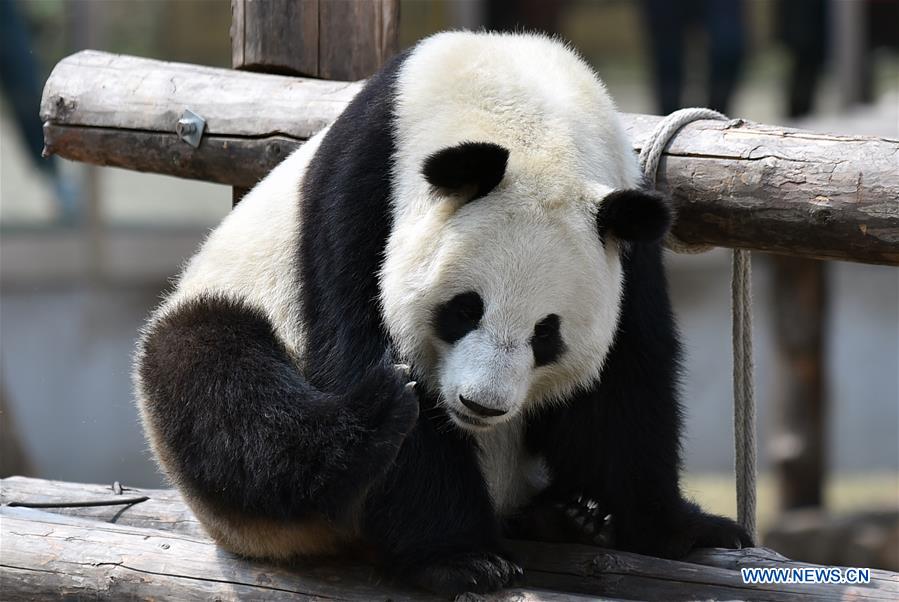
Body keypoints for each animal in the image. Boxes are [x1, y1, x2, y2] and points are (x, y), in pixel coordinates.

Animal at [134, 31, 751, 596]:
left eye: (546, 335)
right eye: (464, 310)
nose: (482, 405)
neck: (525, 100)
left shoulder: (627, 237)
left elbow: (625, 384)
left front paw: (683, 529)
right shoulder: (363, 193)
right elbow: (362, 343)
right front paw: (461, 559)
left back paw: (569, 516)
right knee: (215, 380)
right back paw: (371, 419)